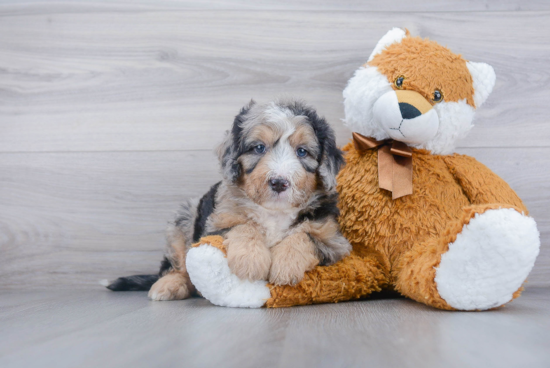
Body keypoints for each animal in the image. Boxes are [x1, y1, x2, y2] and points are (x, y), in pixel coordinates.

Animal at [105, 99, 352, 300]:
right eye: (258, 148)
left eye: (302, 152)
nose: (279, 182)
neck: (274, 212)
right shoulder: (216, 224)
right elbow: (242, 226)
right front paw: (250, 261)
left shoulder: (333, 240)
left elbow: (304, 235)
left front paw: (286, 266)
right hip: (184, 218)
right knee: (178, 266)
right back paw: (168, 286)